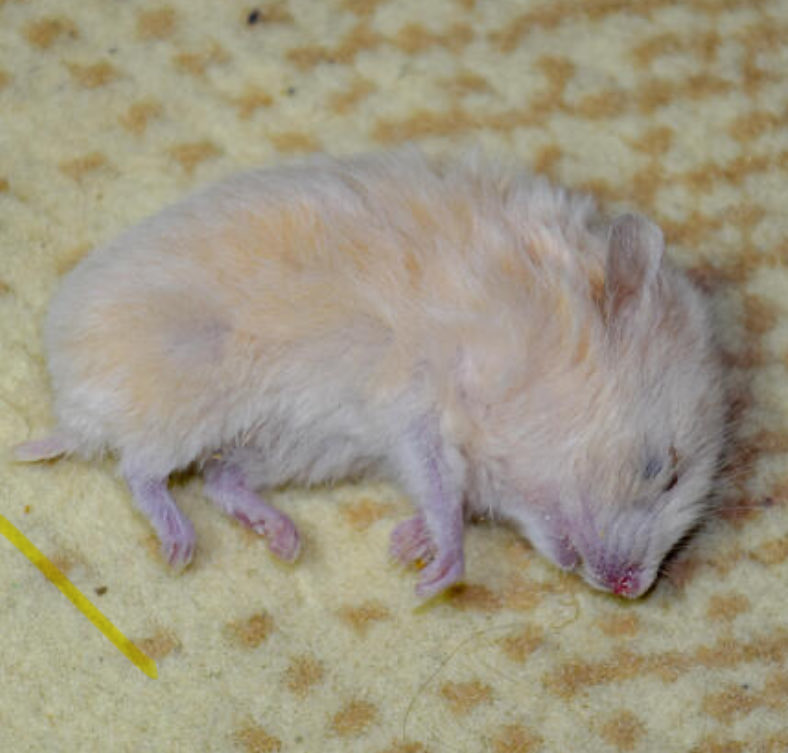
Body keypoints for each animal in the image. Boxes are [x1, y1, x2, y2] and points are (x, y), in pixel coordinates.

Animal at [14, 147, 726, 599]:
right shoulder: (417, 402)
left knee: (220, 479)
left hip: (293, 448)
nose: (633, 591)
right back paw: (180, 545)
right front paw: (434, 574)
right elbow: (441, 488)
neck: (534, 345)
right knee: (139, 469)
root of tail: (72, 411)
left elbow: (448, 494)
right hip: (188, 400)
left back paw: (283, 539)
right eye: (662, 470)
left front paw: (402, 546)